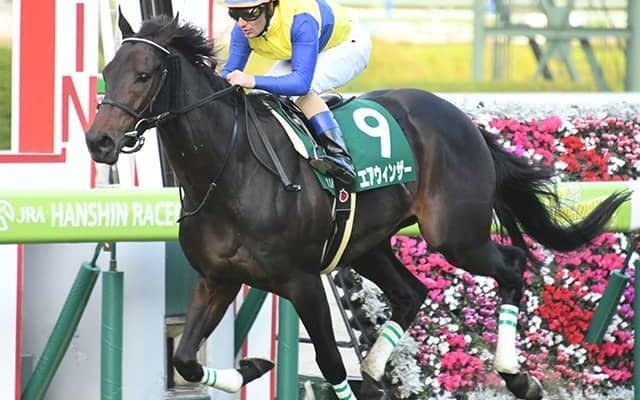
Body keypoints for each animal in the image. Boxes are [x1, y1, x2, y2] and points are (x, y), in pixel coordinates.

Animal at [85, 12, 629, 400]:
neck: (228, 171)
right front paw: (253, 366)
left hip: (455, 235)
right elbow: (186, 359)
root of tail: (463, 120)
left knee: (513, 265)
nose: (99, 142)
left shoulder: (302, 282)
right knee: (412, 292)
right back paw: (374, 370)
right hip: (367, 243)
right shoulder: (217, 277)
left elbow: (328, 362)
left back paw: (517, 377)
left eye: (144, 74)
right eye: (107, 71)